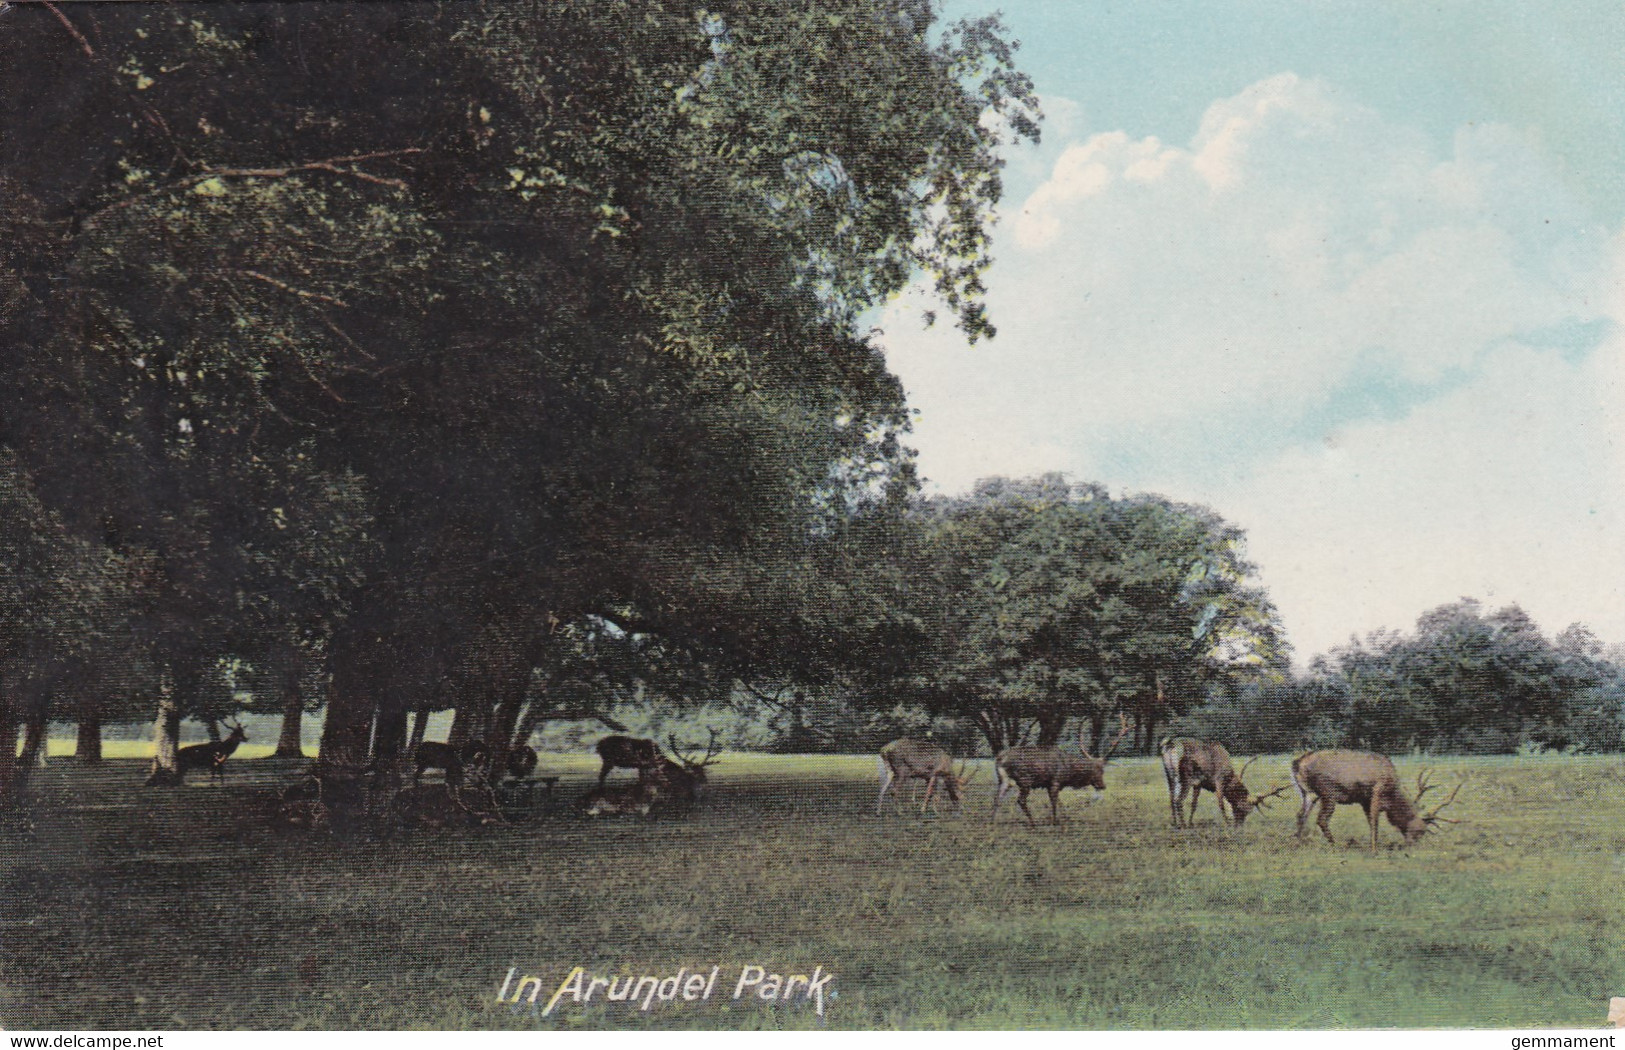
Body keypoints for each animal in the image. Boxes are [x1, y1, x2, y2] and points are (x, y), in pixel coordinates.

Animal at [988, 718, 1131, 825]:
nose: (1102, 785)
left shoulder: (1049, 784)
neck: (1069, 772)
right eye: (1100, 770)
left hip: (1004, 779)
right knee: (1020, 800)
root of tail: (1000, 758)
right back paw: (1033, 824)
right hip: (1025, 779)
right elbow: (1054, 802)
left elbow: (1059, 802)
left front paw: (1065, 819)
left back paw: (992, 823)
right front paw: (1056, 822)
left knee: (997, 798)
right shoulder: (1055, 781)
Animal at [1293, 747, 1462, 858]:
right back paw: (1336, 846)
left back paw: (1297, 843)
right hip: (1328, 792)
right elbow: (1375, 822)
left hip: (1308, 792)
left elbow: (1370, 821)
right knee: (1321, 819)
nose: (1412, 846)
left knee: (1301, 814)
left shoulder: (1364, 800)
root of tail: (1297, 763)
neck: (1391, 796)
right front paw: (1374, 851)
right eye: (1422, 830)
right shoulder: (1376, 791)